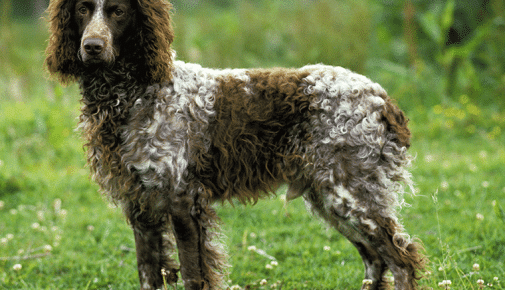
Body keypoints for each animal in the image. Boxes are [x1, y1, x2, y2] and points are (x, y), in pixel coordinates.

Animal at [45, 0, 426, 288]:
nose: (92, 46)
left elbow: (194, 276)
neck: (132, 94)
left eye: (118, 11)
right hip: (331, 199)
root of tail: (383, 99)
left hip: (350, 195)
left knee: (401, 260)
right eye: (82, 9)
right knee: (376, 262)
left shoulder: (182, 202)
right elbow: (149, 275)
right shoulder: (141, 208)